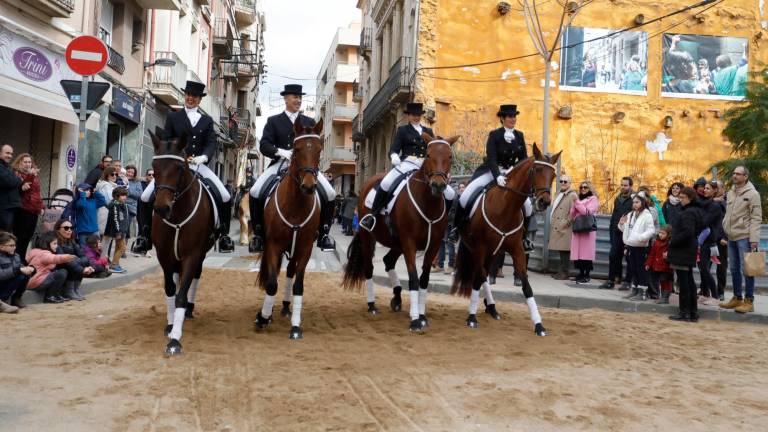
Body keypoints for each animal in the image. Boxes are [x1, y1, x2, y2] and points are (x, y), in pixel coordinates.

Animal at [149, 130, 216, 356]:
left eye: (178, 168)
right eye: (154, 166)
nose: (162, 209)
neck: (178, 213)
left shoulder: (192, 254)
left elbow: (181, 293)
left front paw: (175, 341)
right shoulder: (163, 255)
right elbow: (170, 289)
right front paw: (170, 326)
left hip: (201, 254)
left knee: (195, 278)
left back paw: (189, 308)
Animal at [254, 120, 322, 340]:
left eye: (319, 149)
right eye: (296, 149)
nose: (308, 187)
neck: (296, 205)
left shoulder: (306, 248)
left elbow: (298, 285)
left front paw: (295, 326)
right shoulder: (273, 246)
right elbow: (271, 284)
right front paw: (263, 318)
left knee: (291, 272)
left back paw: (285, 306)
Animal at [340, 133, 456, 332]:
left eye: (449, 156)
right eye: (428, 155)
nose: (438, 185)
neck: (428, 203)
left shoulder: (432, 245)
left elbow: (424, 279)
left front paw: (422, 316)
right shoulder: (409, 242)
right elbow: (414, 278)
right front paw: (415, 319)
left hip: (397, 243)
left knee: (388, 261)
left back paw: (397, 297)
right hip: (369, 237)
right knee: (369, 268)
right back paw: (372, 305)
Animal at [450, 143, 560, 336]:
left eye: (553, 175)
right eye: (537, 169)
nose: (544, 202)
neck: (506, 206)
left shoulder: (517, 250)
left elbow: (526, 286)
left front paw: (539, 325)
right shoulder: (480, 248)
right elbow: (477, 280)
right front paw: (471, 318)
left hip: (494, 252)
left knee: (485, 275)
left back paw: (492, 307)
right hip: (478, 249)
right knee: (481, 276)